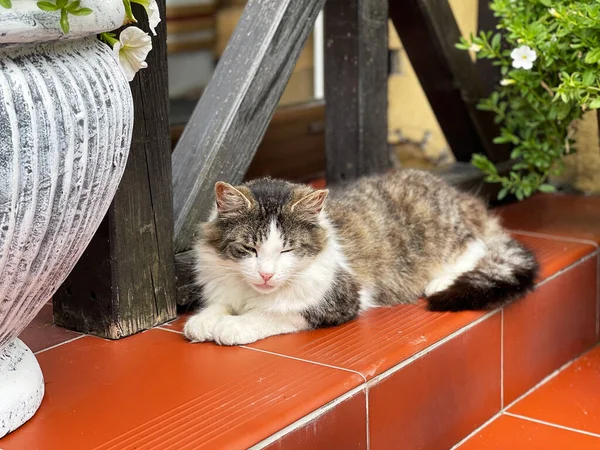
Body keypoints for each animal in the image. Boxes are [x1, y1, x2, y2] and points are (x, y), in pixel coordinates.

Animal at [184, 169, 540, 344]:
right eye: (249, 249)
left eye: (287, 249)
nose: (266, 274)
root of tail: (458, 194)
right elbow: (219, 306)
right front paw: (203, 322)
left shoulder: (336, 299)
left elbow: (270, 315)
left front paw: (232, 327)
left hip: (445, 233)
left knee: (478, 246)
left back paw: (440, 282)